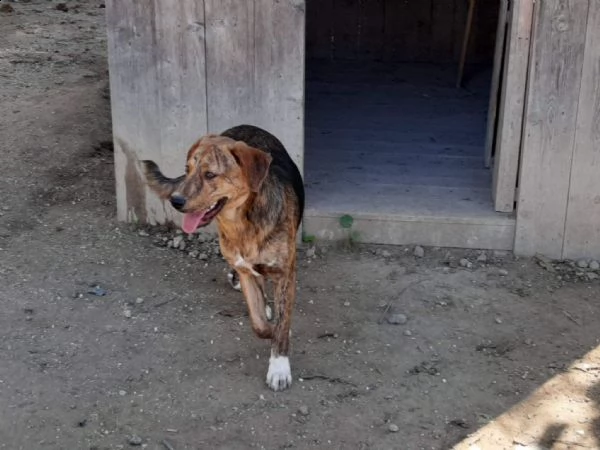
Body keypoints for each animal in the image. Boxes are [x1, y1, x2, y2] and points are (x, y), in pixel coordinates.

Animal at [142, 124, 304, 390]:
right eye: (187, 170)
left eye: (210, 175)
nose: (175, 201)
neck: (242, 224)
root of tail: (243, 127)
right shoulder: (245, 270)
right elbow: (258, 324)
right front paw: (270, 327)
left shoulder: (285, 274)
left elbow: (282, 322)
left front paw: (279, 366)